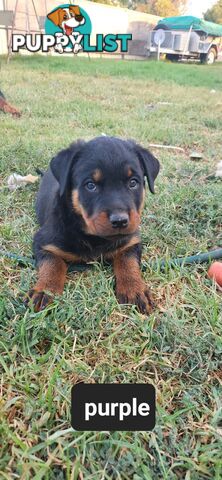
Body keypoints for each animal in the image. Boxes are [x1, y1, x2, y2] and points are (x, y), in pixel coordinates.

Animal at [28, 137, 160, 314]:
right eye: (91, 185)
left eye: (133, 183)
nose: (120, 220)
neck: (95, 238)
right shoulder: (43, 242)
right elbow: (52, 263)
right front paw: (45, 290)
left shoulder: (132, 240)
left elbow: (128, 260)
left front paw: (134, 288)